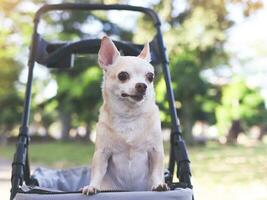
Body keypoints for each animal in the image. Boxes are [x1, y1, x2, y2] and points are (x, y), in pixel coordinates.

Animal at [82, 36, 169, 195]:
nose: (142, 85)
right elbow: (97, 172)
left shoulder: (156, 152)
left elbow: (157, 171)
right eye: (123, 76)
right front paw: (92, 186)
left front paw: (159, 184)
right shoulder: (101, 153)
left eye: (150, 77)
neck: (129, 116)